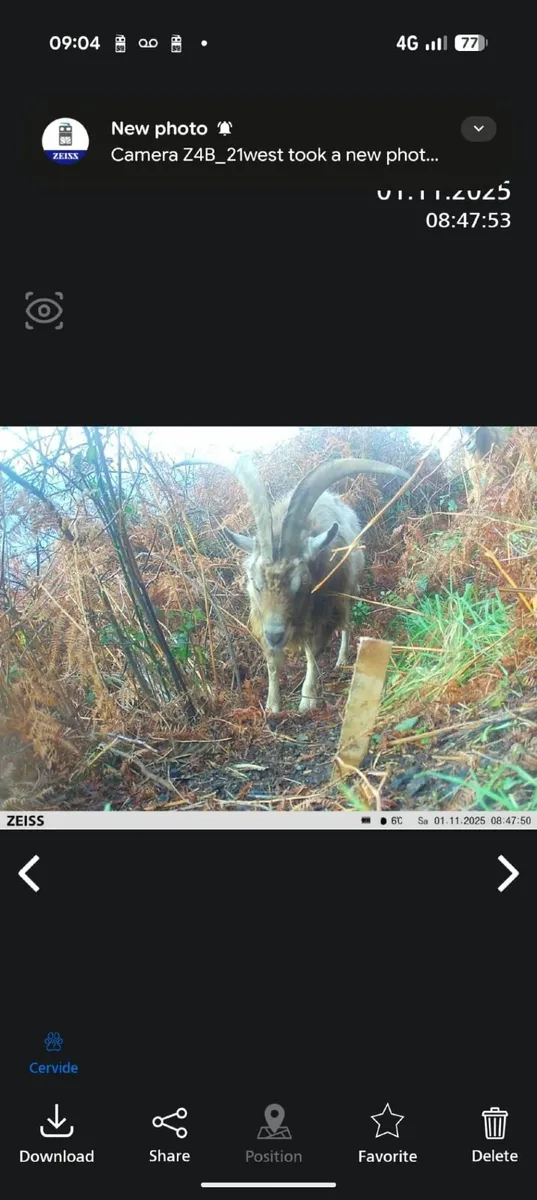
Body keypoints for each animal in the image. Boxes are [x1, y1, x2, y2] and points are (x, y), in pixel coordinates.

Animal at [219, 455, 409, 713]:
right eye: (255, 583)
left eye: (301, 583)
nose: (276, 635)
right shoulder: (262, 618)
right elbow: (272, 661)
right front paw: (272, 704)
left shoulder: (323, 612)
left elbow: (314, 653)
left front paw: (307, 700)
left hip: (347, 592)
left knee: (346, 623)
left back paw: (341, 659)